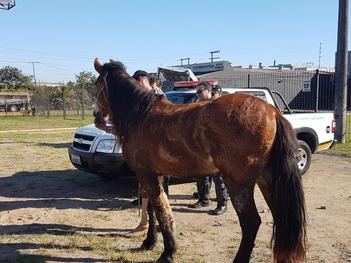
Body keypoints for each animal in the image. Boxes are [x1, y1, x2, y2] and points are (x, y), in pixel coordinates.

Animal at [95, 58, 306, 262]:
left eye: (97, 85)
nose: (97, 117)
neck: (140, 116)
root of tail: (273, 111)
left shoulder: (146, 175)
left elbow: (161, 211)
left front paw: (167, 253)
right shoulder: (155, 175)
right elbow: (154, 210)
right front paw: (149, 243)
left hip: (238, 183)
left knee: (251, 222)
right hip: (267, 180)